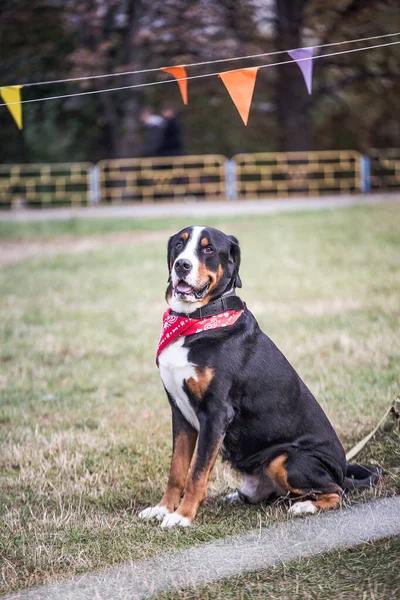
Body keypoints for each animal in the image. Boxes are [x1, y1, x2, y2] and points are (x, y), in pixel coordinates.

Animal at [139, 227, 380, 528]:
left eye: (208, 249)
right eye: (179, 245)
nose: (182, 265)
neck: (195, 321)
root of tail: (342, 470)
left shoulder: (215, 413)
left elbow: (196, 473)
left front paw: (182, 516)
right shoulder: (180, 412)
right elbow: (177, 470)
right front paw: (162, 508)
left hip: (285, 460)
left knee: (336, 491)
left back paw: (305, 506)